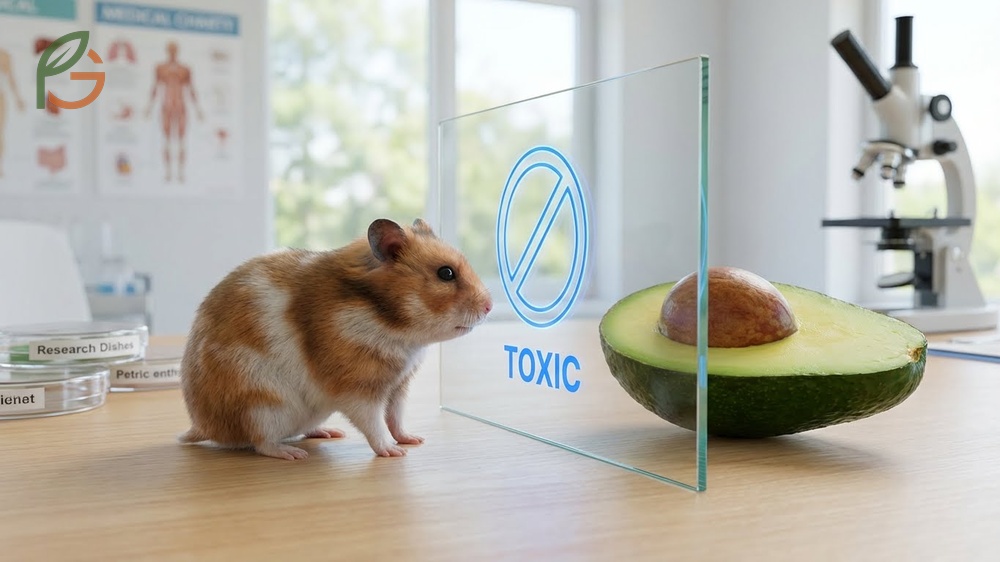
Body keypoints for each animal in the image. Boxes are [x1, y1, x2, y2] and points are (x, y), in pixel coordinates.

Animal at [178, 218, 493, 460]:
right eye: (446, 273)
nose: (489, 306)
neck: (390, 322)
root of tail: (204, 427)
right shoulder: (358, 390)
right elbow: (374, 424)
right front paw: (394, 453)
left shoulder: (398, 386)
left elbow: (396, 418)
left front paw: (413, 440)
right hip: (260, 406)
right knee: (262, 442)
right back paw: (293, 454)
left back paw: (329, 433)